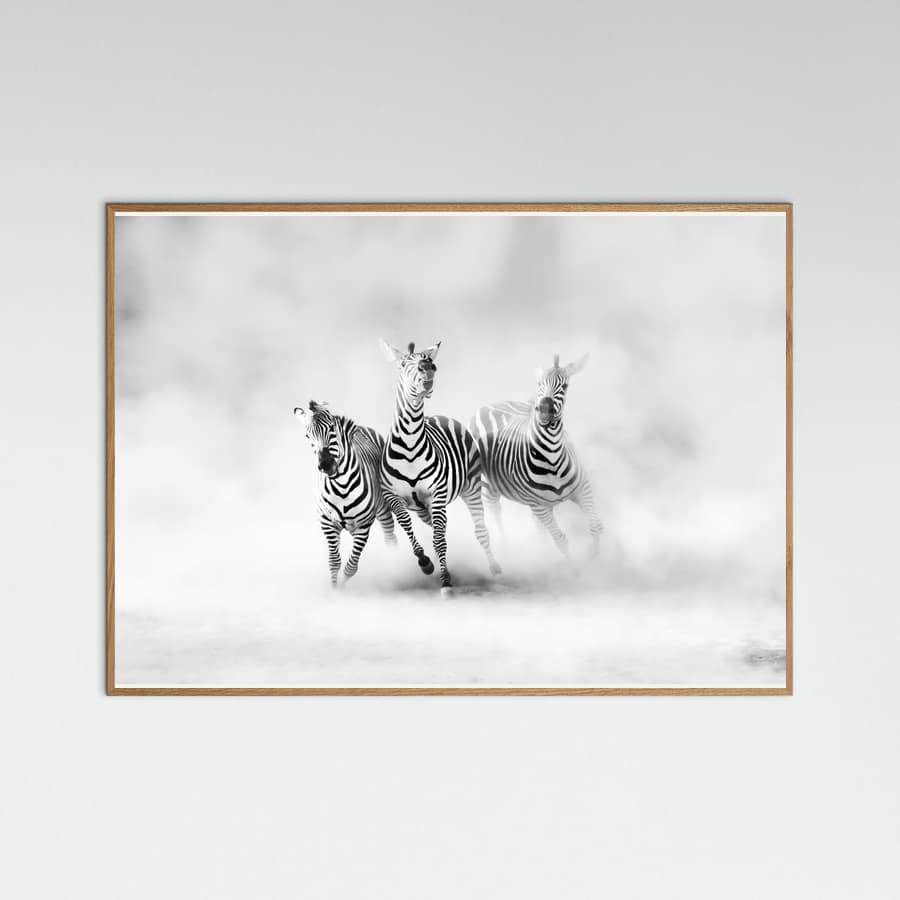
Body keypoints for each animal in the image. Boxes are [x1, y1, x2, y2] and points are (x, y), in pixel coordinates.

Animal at [293, 400, 396, 587]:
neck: (342, 486)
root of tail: (362, 427)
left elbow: (351, 567)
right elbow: (334, 562)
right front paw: (335, 589)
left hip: (383, 509)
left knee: (390, 538)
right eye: (307, 436)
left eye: (332, 428)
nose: (326, 465)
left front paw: (342, 587)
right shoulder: (327, 522)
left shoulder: (363, 525)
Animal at [379, 339, 501, 594]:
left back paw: (494, 567)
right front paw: (425, 562)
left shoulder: (436, 494)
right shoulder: (393, 497)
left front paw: (445, 581)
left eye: (428, 360)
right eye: (403, 364)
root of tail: (441, 416)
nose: (428, 368)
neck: (409, 444)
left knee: (480, 530)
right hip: (423, 507)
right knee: (434, 527)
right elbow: (408, 527)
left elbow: (439, 539)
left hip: (471, 488)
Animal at [471, 354, 603, 558]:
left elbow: (595, 526)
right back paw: (506, 550)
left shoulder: (583, 489)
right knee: (495, 511)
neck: (553, 455)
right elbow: (561, 540)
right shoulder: (539, 505)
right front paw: (575, 566)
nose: (544, 409)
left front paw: (597, 560)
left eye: (565, 386)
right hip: (488, 485)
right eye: (539, 383)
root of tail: (493, 404)